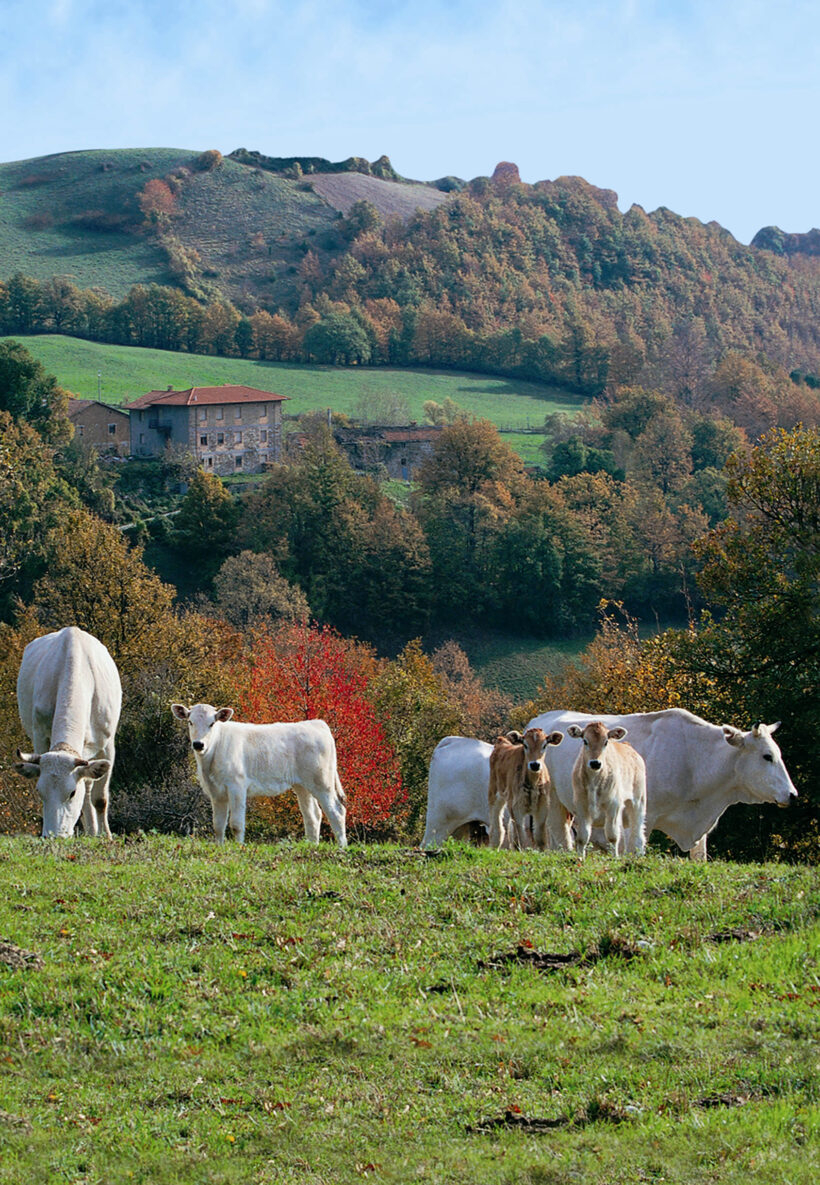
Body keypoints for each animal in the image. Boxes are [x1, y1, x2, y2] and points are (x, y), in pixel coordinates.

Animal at [15, 625, 121, 838]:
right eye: (39, 792)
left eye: (71, 793)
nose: (53, 836)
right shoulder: (40, 737)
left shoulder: (107, 745)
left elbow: (100, 798)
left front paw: (106, 836)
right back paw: (91, 831)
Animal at [173, 696, 346, 848]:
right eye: (190, 722)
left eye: (212, 724)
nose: (198, 744)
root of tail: (317, 723)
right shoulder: (216, 791)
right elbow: (218, 824)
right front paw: (219, 847)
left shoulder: (237, 786)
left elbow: (236, 824)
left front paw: (239, 847)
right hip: (302, 785)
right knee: (313, 815)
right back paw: (312, 846)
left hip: (322, 781)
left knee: (336, 811)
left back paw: (342, 847)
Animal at [528, 706, 796, 857]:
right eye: (767, 756)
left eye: (778, 754)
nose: (792, 794)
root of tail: (540, 720)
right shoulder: (642, 814)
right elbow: (635, 848)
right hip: (555, 803)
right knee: (561, 839)